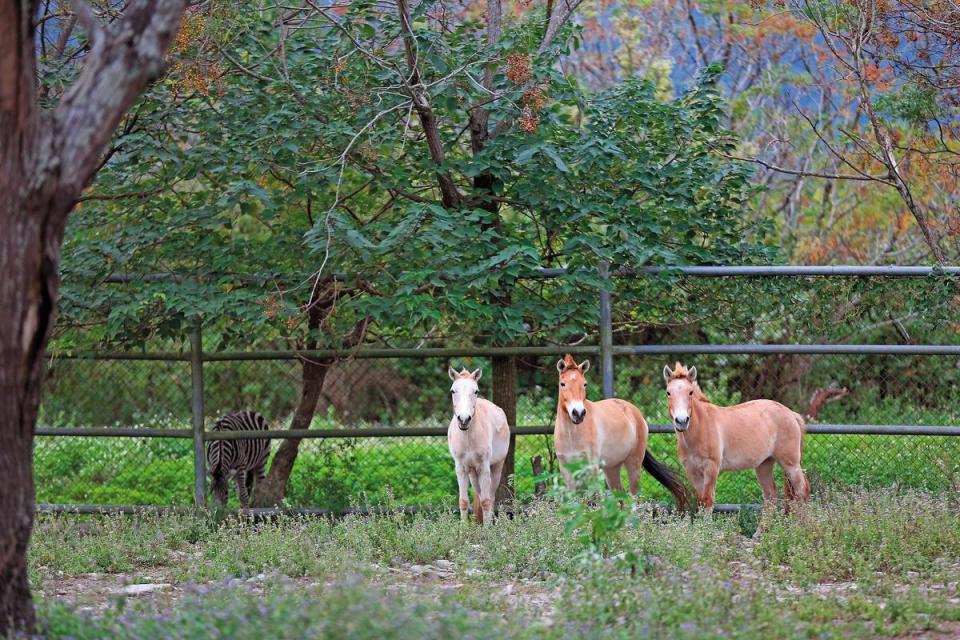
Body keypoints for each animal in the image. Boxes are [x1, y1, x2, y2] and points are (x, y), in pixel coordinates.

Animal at [448, 364, 510, 524]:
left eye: (476, 391)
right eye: (453, 391)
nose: (464, 419)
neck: (468, 438)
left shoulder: (484, 468)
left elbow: (486, 501)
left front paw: (487, 528)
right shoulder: (461, 468)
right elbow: (463, 501)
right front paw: (463, 528)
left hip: (496, 468)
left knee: (491, 498)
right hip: (473, 473)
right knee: (480, 495)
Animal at [556, 352, 688, 512]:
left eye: (584, 384)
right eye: (562, 384)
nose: (578, 413)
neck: (572, 435)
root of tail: (636, 413)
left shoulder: (592, 468)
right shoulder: (567, 470)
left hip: (633, 465)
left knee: (632, 498)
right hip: (611, 468)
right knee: (621, 497)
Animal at [664, 360, 812, 516]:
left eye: (690, 392)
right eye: (668, 392)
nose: (681, 421)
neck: (700, 429)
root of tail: (791, 413)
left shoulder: (711, 468)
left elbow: (708, 501)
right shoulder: (692, 471)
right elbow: (700, 502)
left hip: (790, 464)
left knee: (802, 490)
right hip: (764, 464)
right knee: (770, 495)